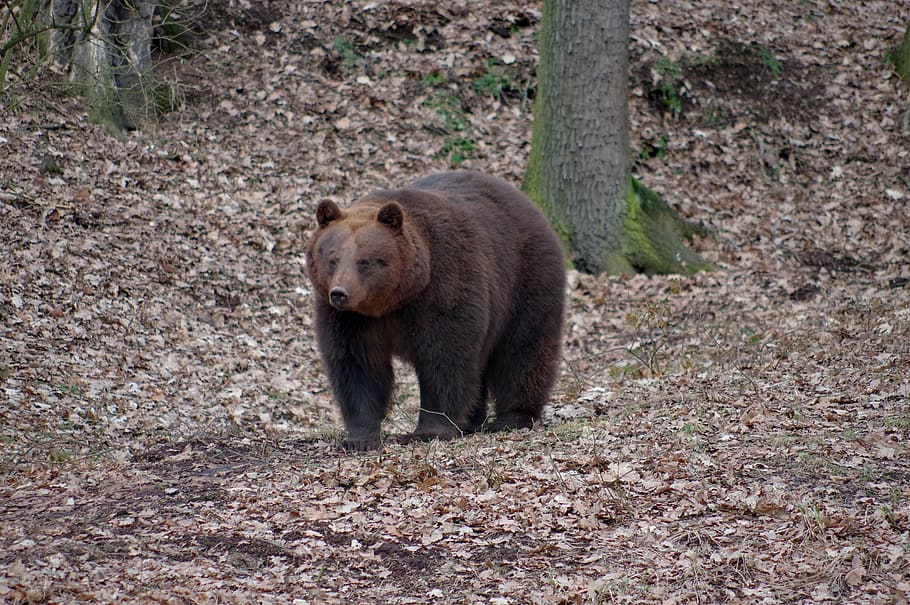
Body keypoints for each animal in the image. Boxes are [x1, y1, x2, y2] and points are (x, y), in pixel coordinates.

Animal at [305, 171, 565, 451]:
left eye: (364, 261)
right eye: (332, 259)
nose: (340, 293)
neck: (392, 301)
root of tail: (527, 202)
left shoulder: (442, 290)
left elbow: (443, 358)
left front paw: (429, 430)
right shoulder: (350, 319)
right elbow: (358, 365)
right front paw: (359, 439)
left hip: (525, 281)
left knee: (522, 350)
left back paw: (514, 417)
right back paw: (472, 421)